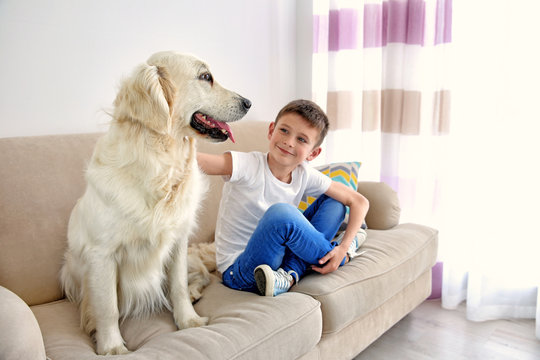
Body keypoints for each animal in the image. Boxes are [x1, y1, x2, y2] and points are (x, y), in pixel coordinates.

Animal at [59, 50, 251, 354]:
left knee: (200, 276)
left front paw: (188, 321)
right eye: (205, 77)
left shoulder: (177, 242)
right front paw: (112, 347)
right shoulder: (101, 255)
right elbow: (108, 308)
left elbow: (178, 287)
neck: (161, 166)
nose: (248, 103)